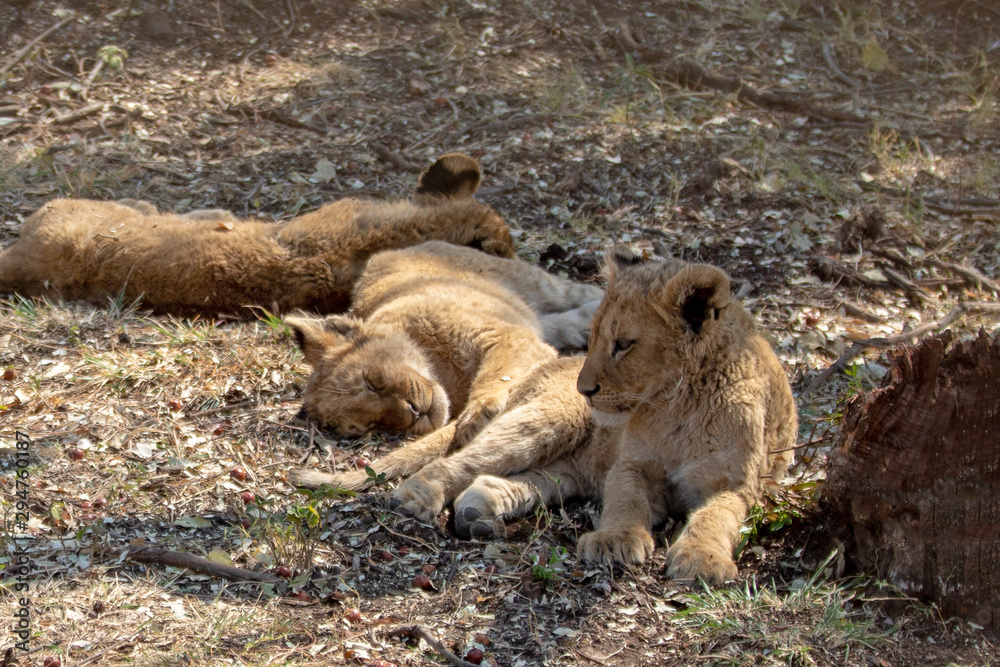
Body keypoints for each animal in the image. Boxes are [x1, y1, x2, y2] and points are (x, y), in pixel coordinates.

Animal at [286, 240, 604, 491]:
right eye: (372, 426)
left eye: (372, 382)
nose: (414, 413)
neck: (448, 377)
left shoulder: (505, 337)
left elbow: (497, 374)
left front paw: (477, 415)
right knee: (567, 322)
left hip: (537, 284)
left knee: (586, 291)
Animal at [388, 246, 798, 585]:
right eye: (595, 336)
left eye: (623, 344)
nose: (584, 389)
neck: (678, 407)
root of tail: (540, 368)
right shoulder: (631, 465)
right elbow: (626, 500)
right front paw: (614, 540)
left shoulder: (735, 484)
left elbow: (718, 517)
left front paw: (703, 559)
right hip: (549, 423)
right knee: (460, 462)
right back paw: (417, 496)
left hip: (569, 469)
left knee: (513, 479)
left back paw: (478, 511)